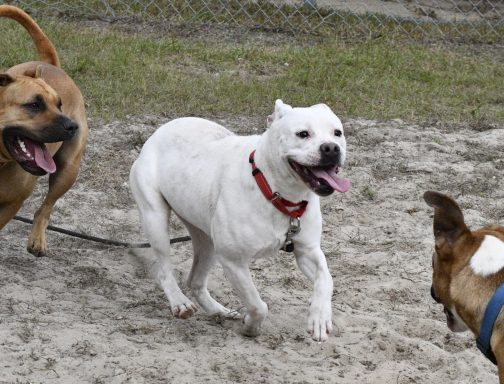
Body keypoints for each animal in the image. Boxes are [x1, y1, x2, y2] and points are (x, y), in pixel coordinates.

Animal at [0, 4, 88, 256]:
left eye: (59, 105)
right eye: (34, 105)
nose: (72, 126)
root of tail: (52, 65)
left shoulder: (12, 204)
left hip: (68, 170)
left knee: (45, 208)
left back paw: (37, 239)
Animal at [130, 100, 350, 340]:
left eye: (337, 133)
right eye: (303, 134)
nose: (331, 148)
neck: (275, 192)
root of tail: (159, 131)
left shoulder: (308, 251)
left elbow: (326, 279)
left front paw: (320, 317)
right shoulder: (233, 261)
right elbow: (257, 305)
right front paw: (250, 327)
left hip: (206, 239)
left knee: (195, 280)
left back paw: (218, 311)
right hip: (155, 221)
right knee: (164, 270)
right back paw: (180, 302)